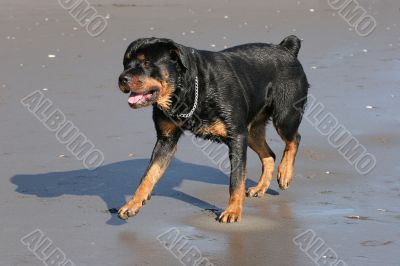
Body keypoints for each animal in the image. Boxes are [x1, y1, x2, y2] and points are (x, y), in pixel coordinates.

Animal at [117, 35, 308, 222]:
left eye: (147, 63)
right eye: (126, 63)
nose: (122, 78)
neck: (189, 92)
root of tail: (285, 48)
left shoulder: (237, 136)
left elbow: (236, 179)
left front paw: (233, 210)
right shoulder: (166, 139)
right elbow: (149, 174)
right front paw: (133, 203)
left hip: (284, 116)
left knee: (294, 139)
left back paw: (285, 173)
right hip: (252, 130)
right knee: (269, 155)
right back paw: (260, 187)